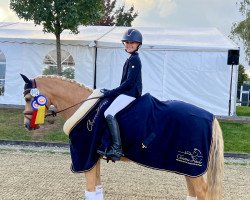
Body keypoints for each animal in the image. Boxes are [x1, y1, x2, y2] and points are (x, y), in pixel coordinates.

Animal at [21, 74, 225, 200]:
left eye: (28, 99)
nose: (26, 125)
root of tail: (210, 117)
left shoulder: (85, 158)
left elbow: (90, 191)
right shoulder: (93, 159)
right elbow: (97, 190)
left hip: (191, 167)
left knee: (203, 192)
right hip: (187, 169)